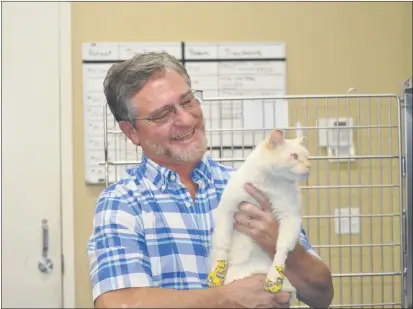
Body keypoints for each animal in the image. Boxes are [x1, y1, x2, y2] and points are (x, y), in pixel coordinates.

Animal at [206, 128, 308, 296]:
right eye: (294, 156)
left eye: (308, 157)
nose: (309, 166)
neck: (269, 184)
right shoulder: (228, 208)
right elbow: (222, 243)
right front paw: (216, 272)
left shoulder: (291, 216)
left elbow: (282, 247)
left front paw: (274, 276)